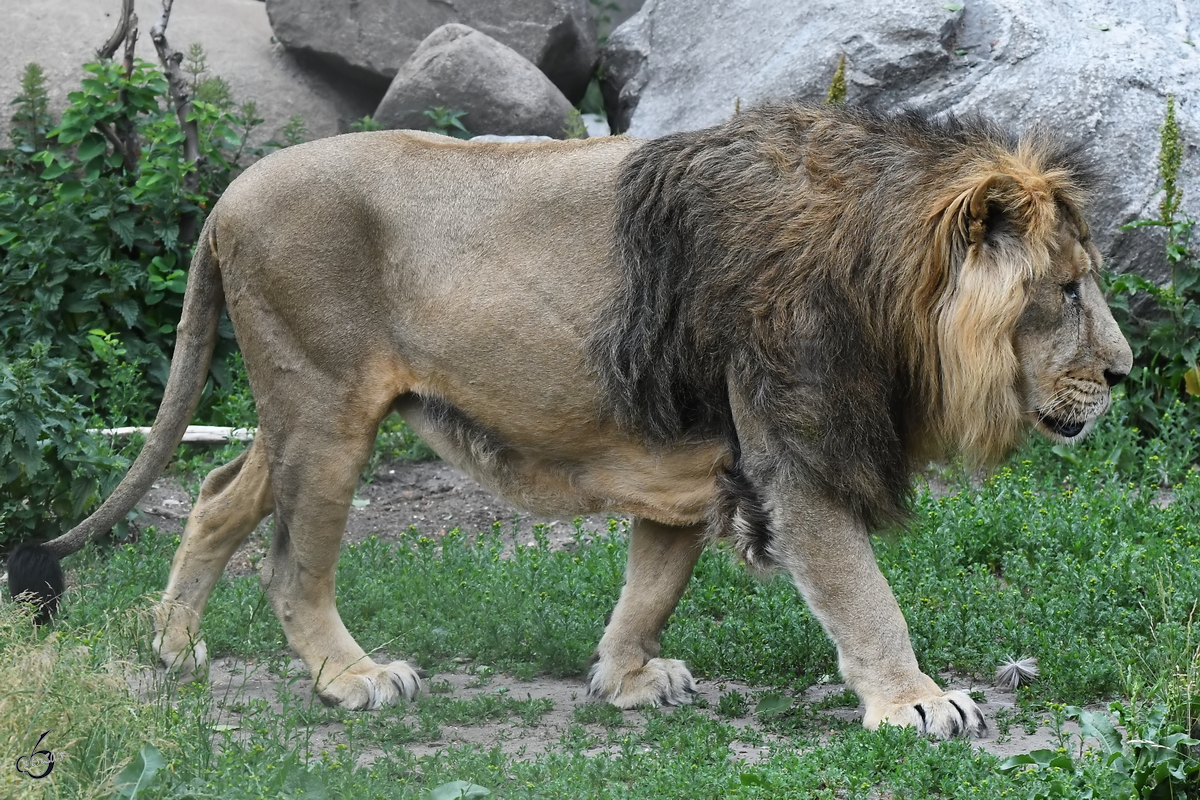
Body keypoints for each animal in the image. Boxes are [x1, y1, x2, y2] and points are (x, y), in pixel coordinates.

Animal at [30, 103, 1132, 743]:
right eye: (1067, 291)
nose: (1122, 372)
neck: (891, 282)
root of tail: (226, 196)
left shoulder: (697, 459)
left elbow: (652, 583)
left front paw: (626, 678)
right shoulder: (795, 451)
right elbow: (865, 595)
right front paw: (916, 699)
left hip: (305, 406)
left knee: (218, 495)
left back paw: (174, 646)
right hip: (325, 408)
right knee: (291, 563)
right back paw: (353, 679)